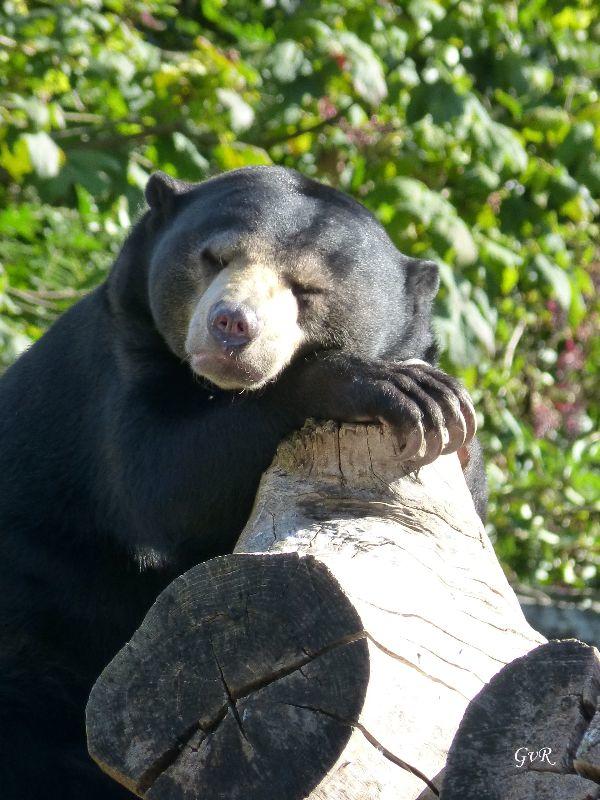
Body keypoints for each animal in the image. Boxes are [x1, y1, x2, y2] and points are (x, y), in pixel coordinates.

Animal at [0, 166, 488, 796]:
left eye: (306, 289)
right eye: (214, 258)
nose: (231, 326)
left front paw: (448, 411)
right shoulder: (113, 364)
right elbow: (163, 483)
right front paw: (391, 387)